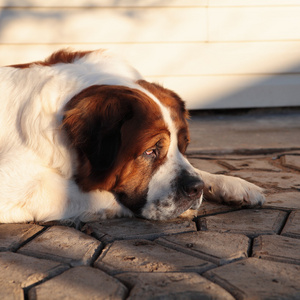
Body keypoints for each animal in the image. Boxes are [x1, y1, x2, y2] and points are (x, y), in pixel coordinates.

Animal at [0, 48, 264, 223]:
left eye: (183, 146)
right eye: (150, 151)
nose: (195, 190)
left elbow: (198, 169)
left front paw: (234, 185)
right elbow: (89, 194)